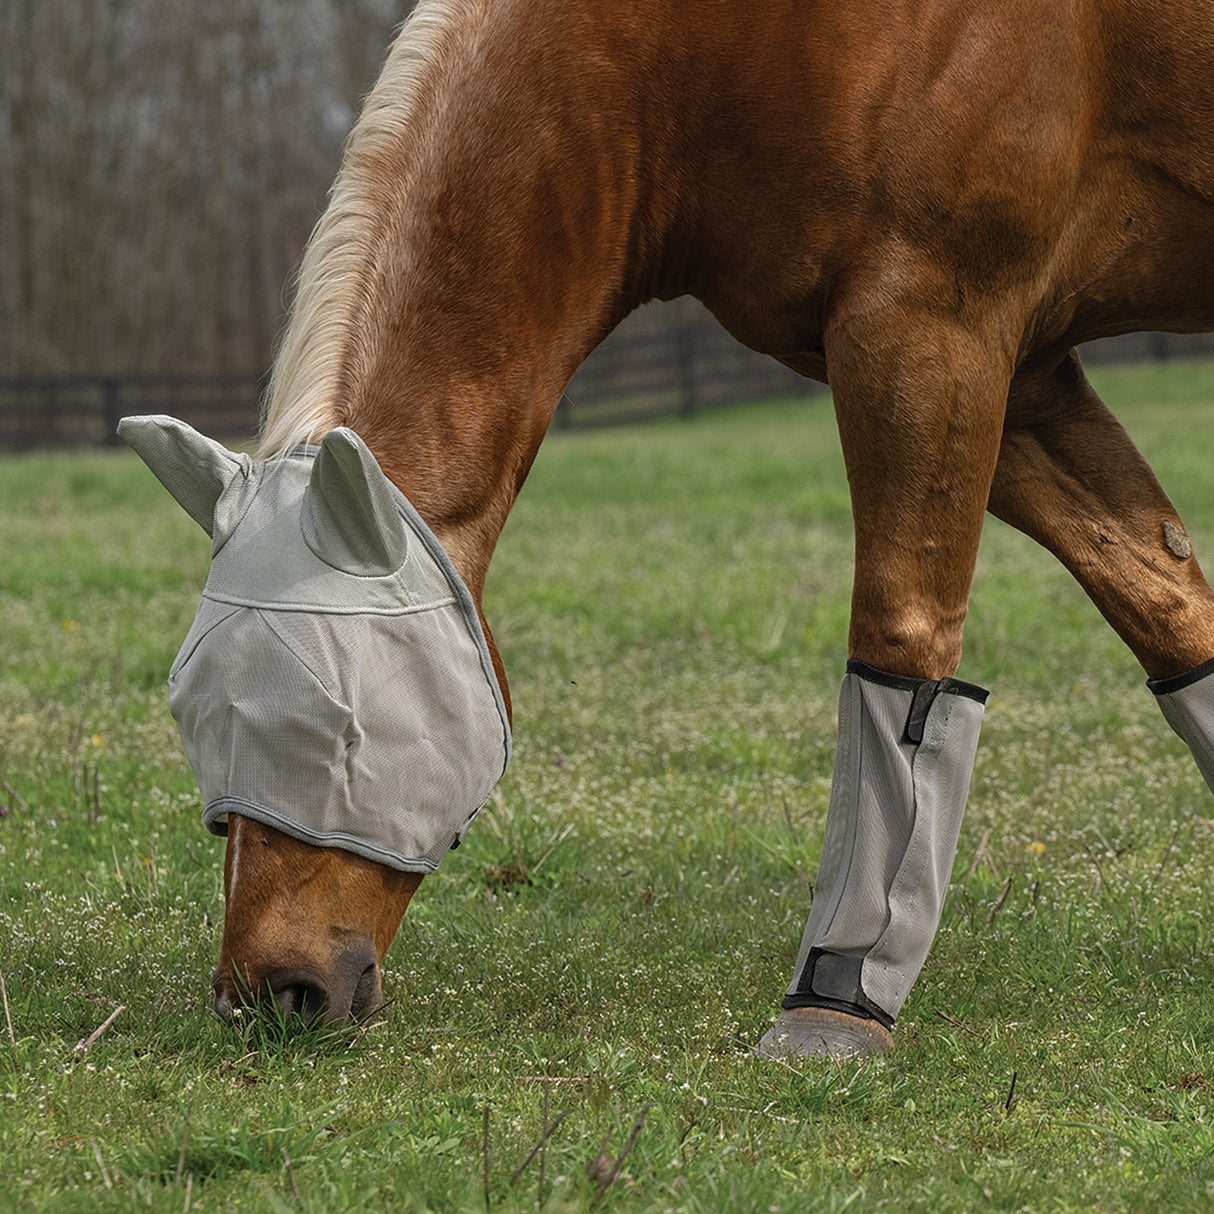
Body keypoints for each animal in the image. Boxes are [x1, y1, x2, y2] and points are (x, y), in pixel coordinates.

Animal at [123, 0, 1214, 1058]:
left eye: (339, 722)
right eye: (190, 710)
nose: (268, 993)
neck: (694, 50)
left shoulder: (931, 328)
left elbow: (901, 641)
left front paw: (836, 1002)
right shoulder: (1023, 372)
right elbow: (1168, 610)